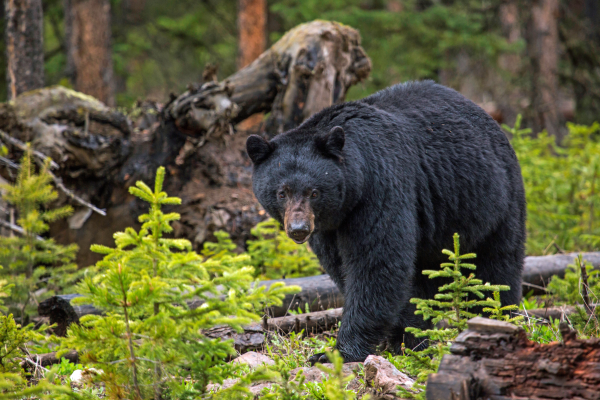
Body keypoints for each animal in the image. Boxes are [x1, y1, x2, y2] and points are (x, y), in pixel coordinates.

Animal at [246, 80, 524, 362]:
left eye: (314, 192)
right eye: (281, 192)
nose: (299, 229)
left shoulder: (380, 187)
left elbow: (377, 263)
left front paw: (338, 352)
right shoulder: (329, 227)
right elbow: (343, 266)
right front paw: (405, 337)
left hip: (493, 201)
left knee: (497, 267)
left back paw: (497, 318)